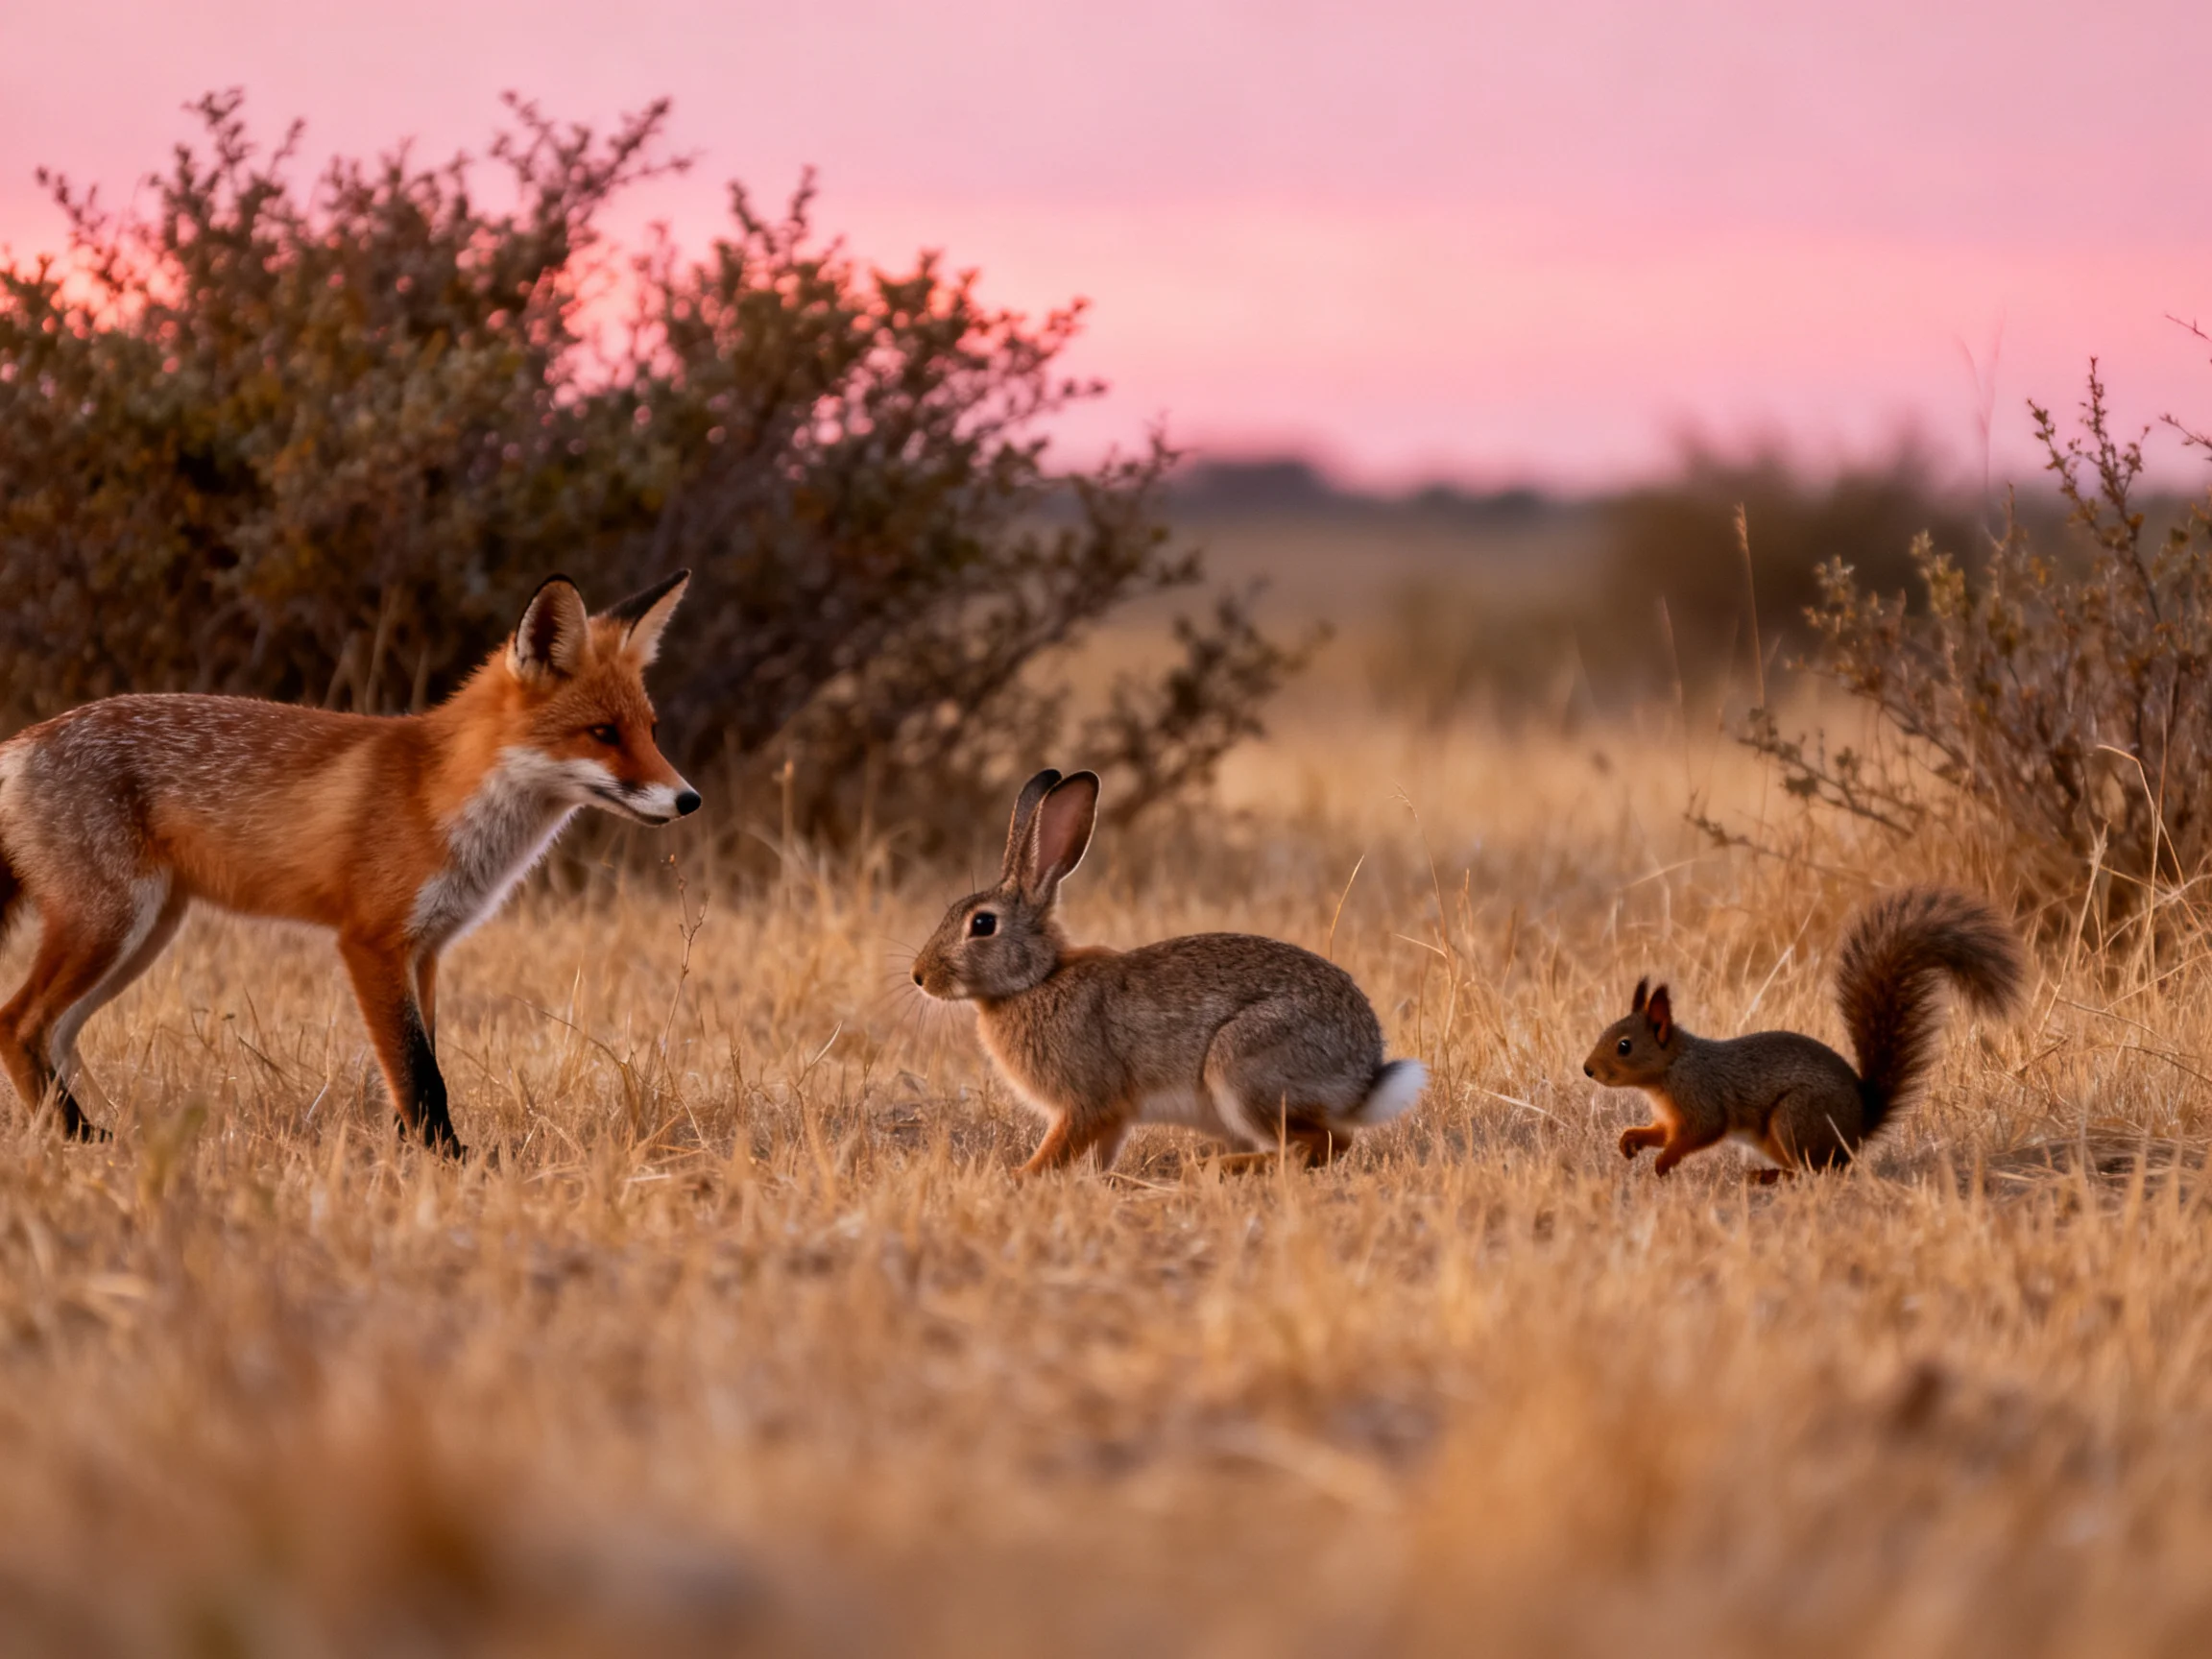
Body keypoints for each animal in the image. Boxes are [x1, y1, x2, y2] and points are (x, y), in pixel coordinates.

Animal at [0, 570, 699, 1153]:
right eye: (602, 733)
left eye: (651, 731)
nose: (688, 799)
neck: (439, 796)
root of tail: (24, 741)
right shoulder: (372, 942)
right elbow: (419, 1072)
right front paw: (450, 1158)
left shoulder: (427, 949)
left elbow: (415, 1063)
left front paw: (409, 1153)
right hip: (111, 925)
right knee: (18, 1024)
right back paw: (75, 1137)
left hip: (144, 934)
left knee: (55, 1034)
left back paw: (83, 1132)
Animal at [911, 768, 1427, 1173]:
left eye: (982, 924)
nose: (919, 976)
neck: (1037, 980)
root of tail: (1362, 1078)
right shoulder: (1112, 1118)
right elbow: (1102, 1152)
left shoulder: (1087, 1101)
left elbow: (1061, 1145)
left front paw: (1022, 1176)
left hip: (1244, 1066)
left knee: (1325, 1144)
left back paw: (1221, 1166)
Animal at [1583, 886, 2025, 1176]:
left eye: (1624, 1046)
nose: (1588, 1069)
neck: (1671, 1068)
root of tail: (1858, 1128)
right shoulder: (1671, 1116)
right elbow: (1661, 1132)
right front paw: (1632, 1140)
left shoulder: (1702, 1098)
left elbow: (1703, 1132)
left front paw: (1664, 1162)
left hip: (1796, 1118)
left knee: (1814, 1171)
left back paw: (1772, 1176)